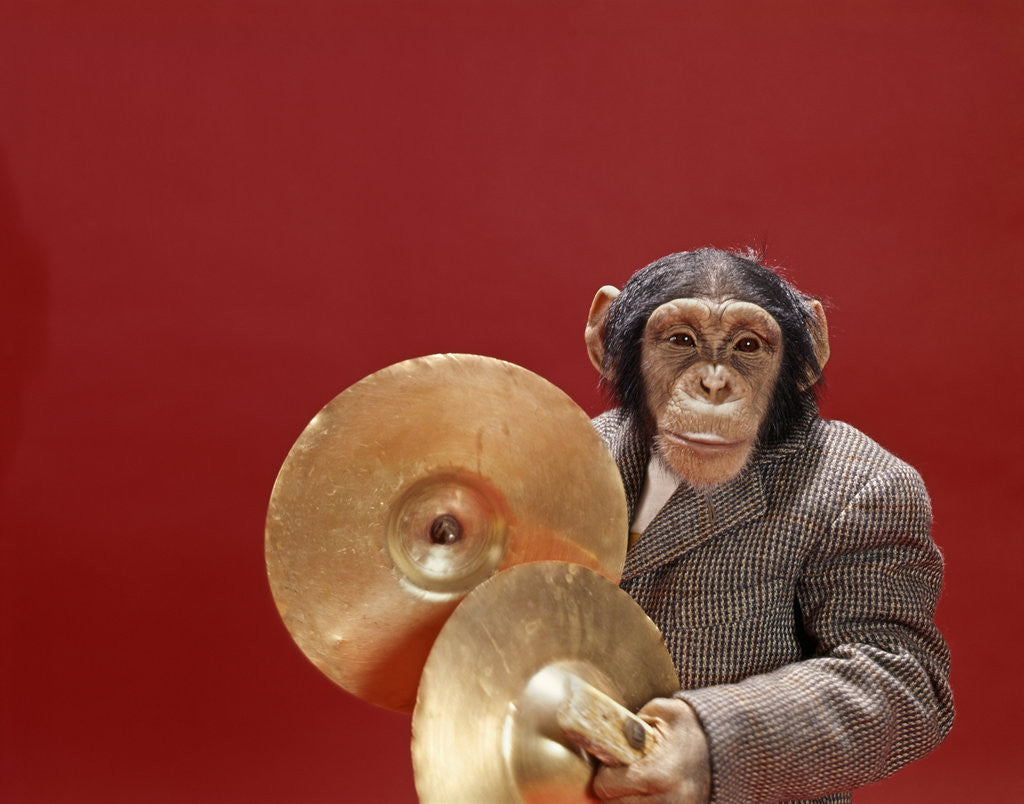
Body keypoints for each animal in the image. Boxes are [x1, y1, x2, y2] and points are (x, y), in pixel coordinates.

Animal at [570, 249, 953, 803]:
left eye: (747, 346)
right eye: (681, 340)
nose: (713, 384)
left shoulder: (886, 505)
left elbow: (885, 661)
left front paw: (682, 757)